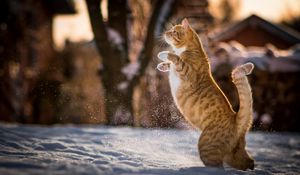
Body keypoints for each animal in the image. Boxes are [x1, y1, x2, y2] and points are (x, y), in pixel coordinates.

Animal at [158, 18, 254, 170]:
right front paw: (162, 65)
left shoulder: (187, 71)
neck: (191, 49)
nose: (165, 33)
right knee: (248, 162)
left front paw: (163, 54)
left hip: (206, 146)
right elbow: (172, 62)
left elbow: (176, 58)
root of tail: (235, 118)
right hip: (234, 156)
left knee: (217, 167)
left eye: (174, 31)